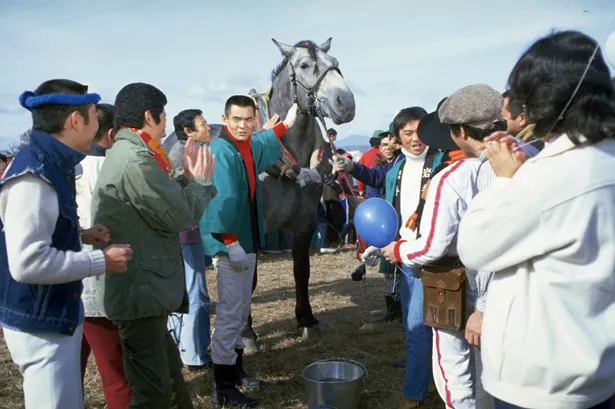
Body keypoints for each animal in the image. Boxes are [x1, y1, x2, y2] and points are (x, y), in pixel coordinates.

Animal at [243, 37, 354, 344]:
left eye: (336, 63)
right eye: (304, 65)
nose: (346, 103)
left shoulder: (304, 223)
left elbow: (301, 270)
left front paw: (306, 319)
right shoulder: (251, 227)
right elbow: (248, 278)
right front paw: (245, 332)